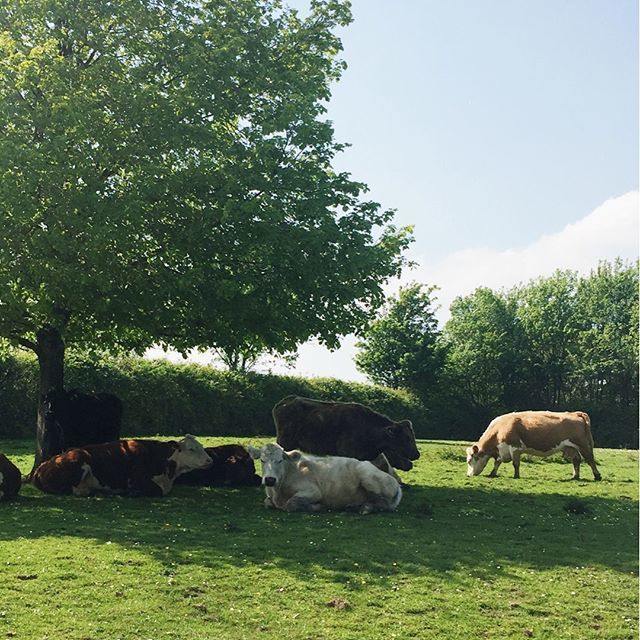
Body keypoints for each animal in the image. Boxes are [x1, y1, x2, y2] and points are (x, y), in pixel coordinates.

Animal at [32, 435, 212, 497]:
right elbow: (158, 491)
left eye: (202, 446)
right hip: (78, 461)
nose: (210, 460)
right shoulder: (137, 479)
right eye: (191, 449)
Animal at [247, 443, 402, 514]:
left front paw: (317, 506)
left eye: (280, 460)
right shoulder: (270, 498)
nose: (269, 479)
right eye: (262, 460)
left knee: (382, 503)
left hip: (366, 474)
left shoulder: (314, 491)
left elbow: (291, 504)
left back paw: (364, 508)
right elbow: (267, 502)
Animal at [466, 410, 602, 481]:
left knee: (590, 460)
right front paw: (492, 473)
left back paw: (597, 476)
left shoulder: (515, 448)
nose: (468, 475)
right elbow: (497, 462)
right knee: (576, 460)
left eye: (470, 460)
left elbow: (515, 464)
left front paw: (516, 476)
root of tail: (575, 413)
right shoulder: (501, 451)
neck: (499, 429)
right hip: (571, 447)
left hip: (583, 445)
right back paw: (575, 476)